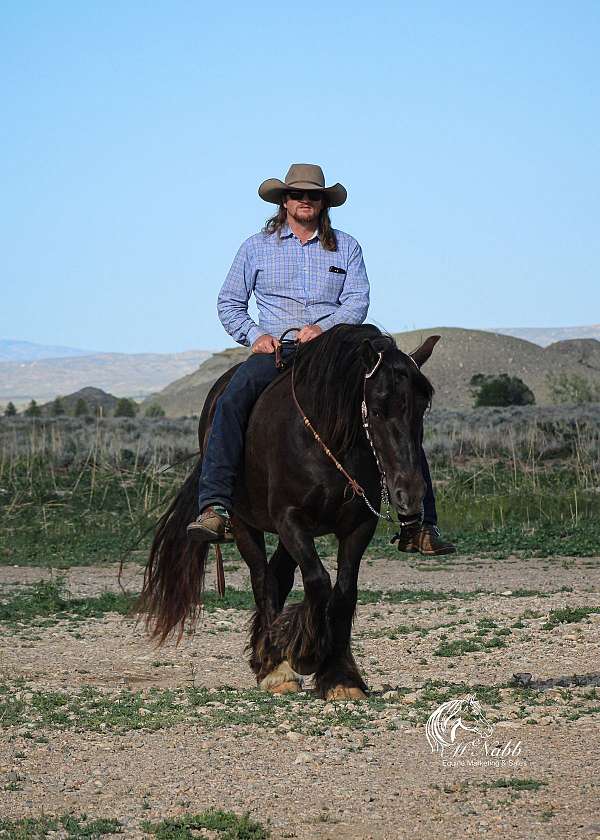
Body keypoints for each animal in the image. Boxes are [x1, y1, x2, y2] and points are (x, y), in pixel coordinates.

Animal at [142, 324, 438, 700]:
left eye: (422, 407)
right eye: (377, 407)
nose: (410, 493)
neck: (327, 441)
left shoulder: (358, 526)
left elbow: (344, 591)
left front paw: (341, 676)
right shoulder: (289, 518)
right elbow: (317, 581)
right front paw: (304, 652)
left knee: (278, 575)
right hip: (245, 524)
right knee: (262, 579)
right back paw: (274, 666)